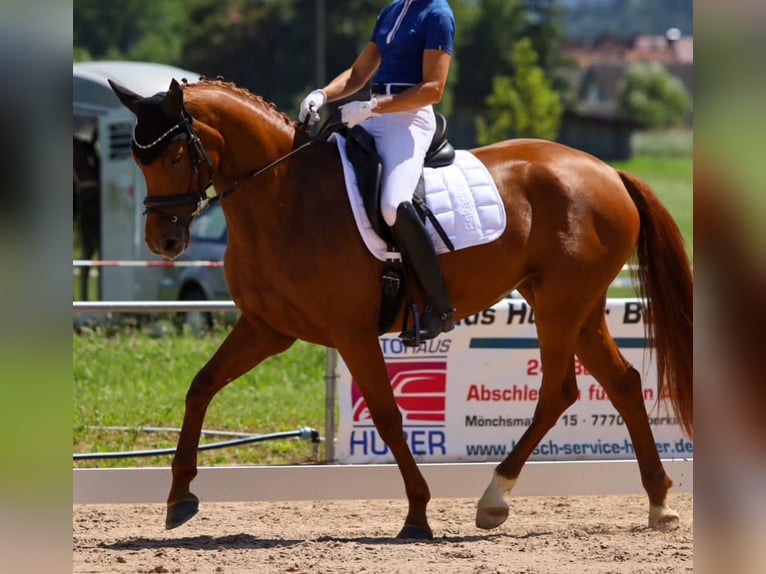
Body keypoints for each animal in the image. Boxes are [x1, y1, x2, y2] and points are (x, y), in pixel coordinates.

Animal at [109, 79, 696, 544]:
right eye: (139, 159)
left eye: (175, 157)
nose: (163, 241)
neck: (282, 198)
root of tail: (608, 172)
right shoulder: (266, 329)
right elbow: (201, 387)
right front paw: (179, 496)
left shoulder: (351, 333)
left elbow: (389, 416)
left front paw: (417, 514)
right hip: (579, 308)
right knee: (621, 383)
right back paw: (659, 503)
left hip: (559, 306)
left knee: (559, 391)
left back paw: (494, 499)